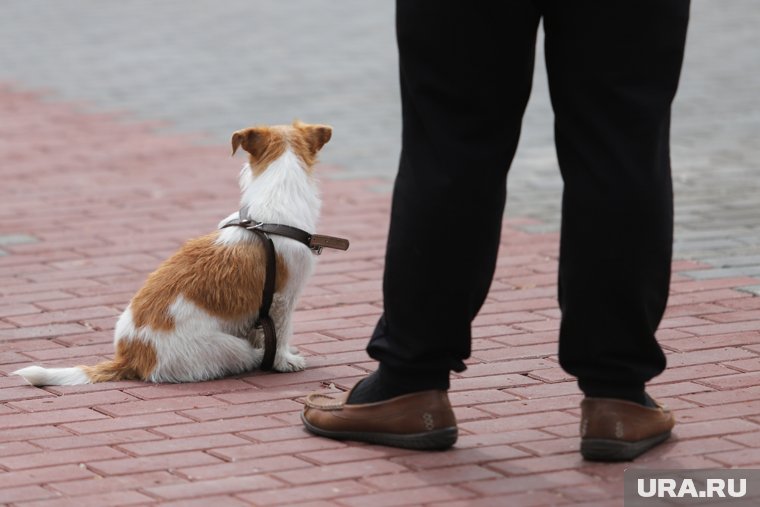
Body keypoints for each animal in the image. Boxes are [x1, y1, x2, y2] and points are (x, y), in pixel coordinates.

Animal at [13, 121, 332, 386]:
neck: (270, 212)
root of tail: (131, 358)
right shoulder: (282, 300)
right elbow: (280, 333)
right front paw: (283, 360)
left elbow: (261, 331)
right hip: (225, 346)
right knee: (245, 354)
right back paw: (257, 359)